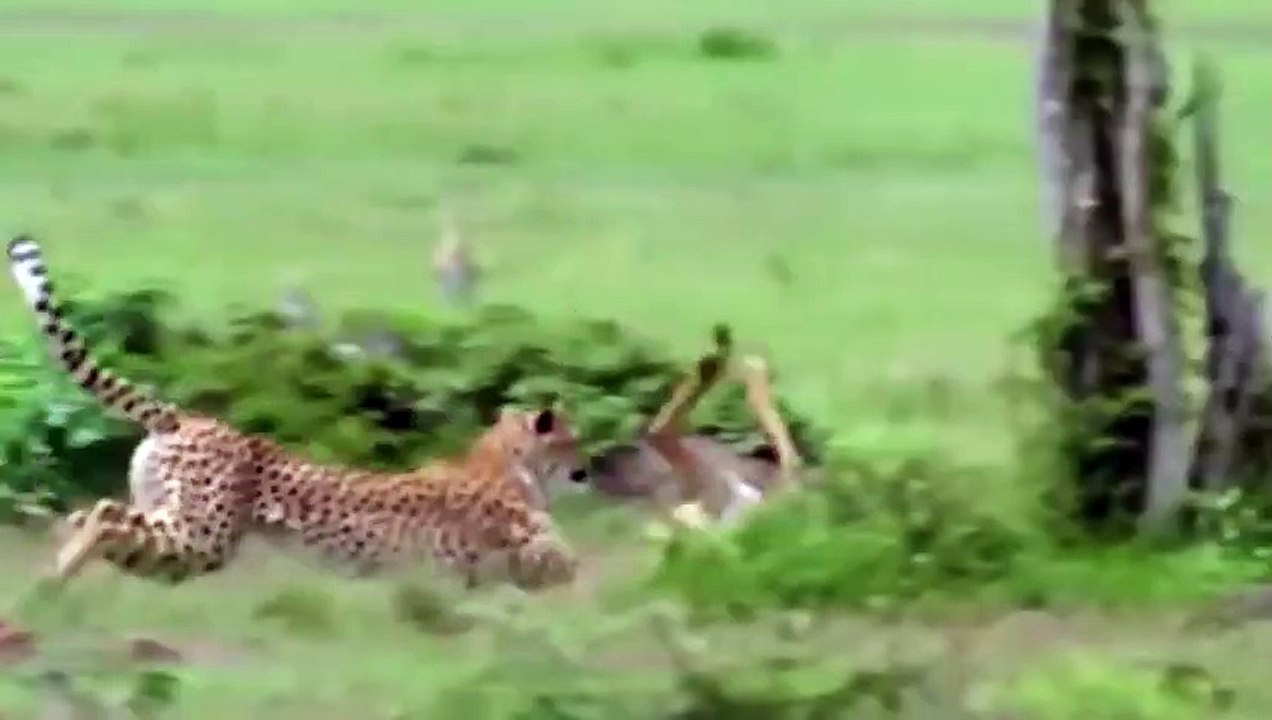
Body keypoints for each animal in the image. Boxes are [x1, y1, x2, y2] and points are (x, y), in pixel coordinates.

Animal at [6, 234, 588, 591]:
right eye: (573, 439)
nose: (587, 468)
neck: (511, 462)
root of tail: (191, 418)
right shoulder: (523, 558)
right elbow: (569, 571)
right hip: (203, 536)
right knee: (104, 519)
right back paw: (54, 587)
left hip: (172, 518)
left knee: (94, 514)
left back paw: (52, 582)